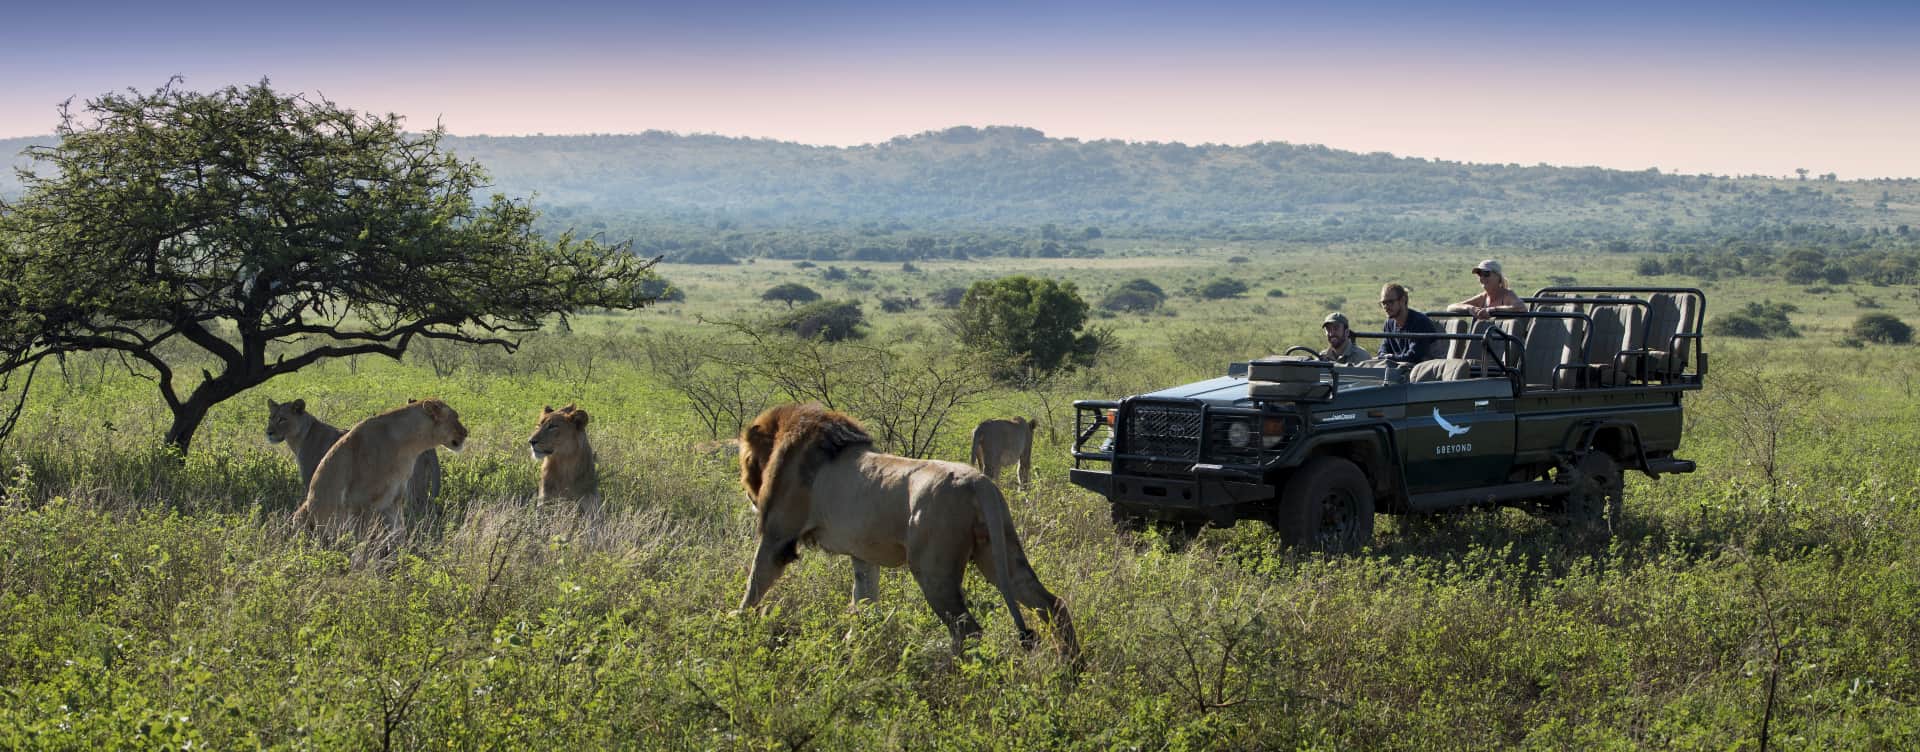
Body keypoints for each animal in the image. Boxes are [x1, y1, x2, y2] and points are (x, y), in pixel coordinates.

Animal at [266, 393, 441, 510]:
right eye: (270, 417)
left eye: (282, 419)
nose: (268, 432)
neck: (300, 437)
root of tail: (431, 446)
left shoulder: (312, 479)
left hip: (412, 485)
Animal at [293, 397, 470, 533]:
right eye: (455, 417)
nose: (466, 432)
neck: (410, 447)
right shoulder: (359, 502)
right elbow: (361, 543)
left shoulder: (393, 502)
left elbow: (398, 534)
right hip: (303, 513)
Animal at [737, 399, 1082, 659]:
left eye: (745, 459)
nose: (745, 487)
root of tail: (979, 483)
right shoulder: (863, 554)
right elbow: (863, 598)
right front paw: (855, 644)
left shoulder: (778, 536)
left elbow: (754, 583)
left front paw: (735, 625)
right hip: (1000, 554)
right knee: (1051, 604)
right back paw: (1071, 669)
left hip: (933, 569)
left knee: (968, 630)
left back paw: (954, 677)